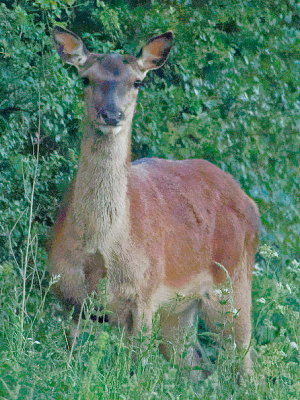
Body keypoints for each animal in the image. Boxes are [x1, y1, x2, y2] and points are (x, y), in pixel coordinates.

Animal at [48, 26, 258, 380]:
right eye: (85, 78)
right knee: (196, 366)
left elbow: (135, 372)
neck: (100, 247)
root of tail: (250, 203)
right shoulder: (67, 297)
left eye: (137, 81)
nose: (111, 114)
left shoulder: (144, 295)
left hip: (234, 286)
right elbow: (68, 361)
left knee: (245, 369)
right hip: (180, 311)